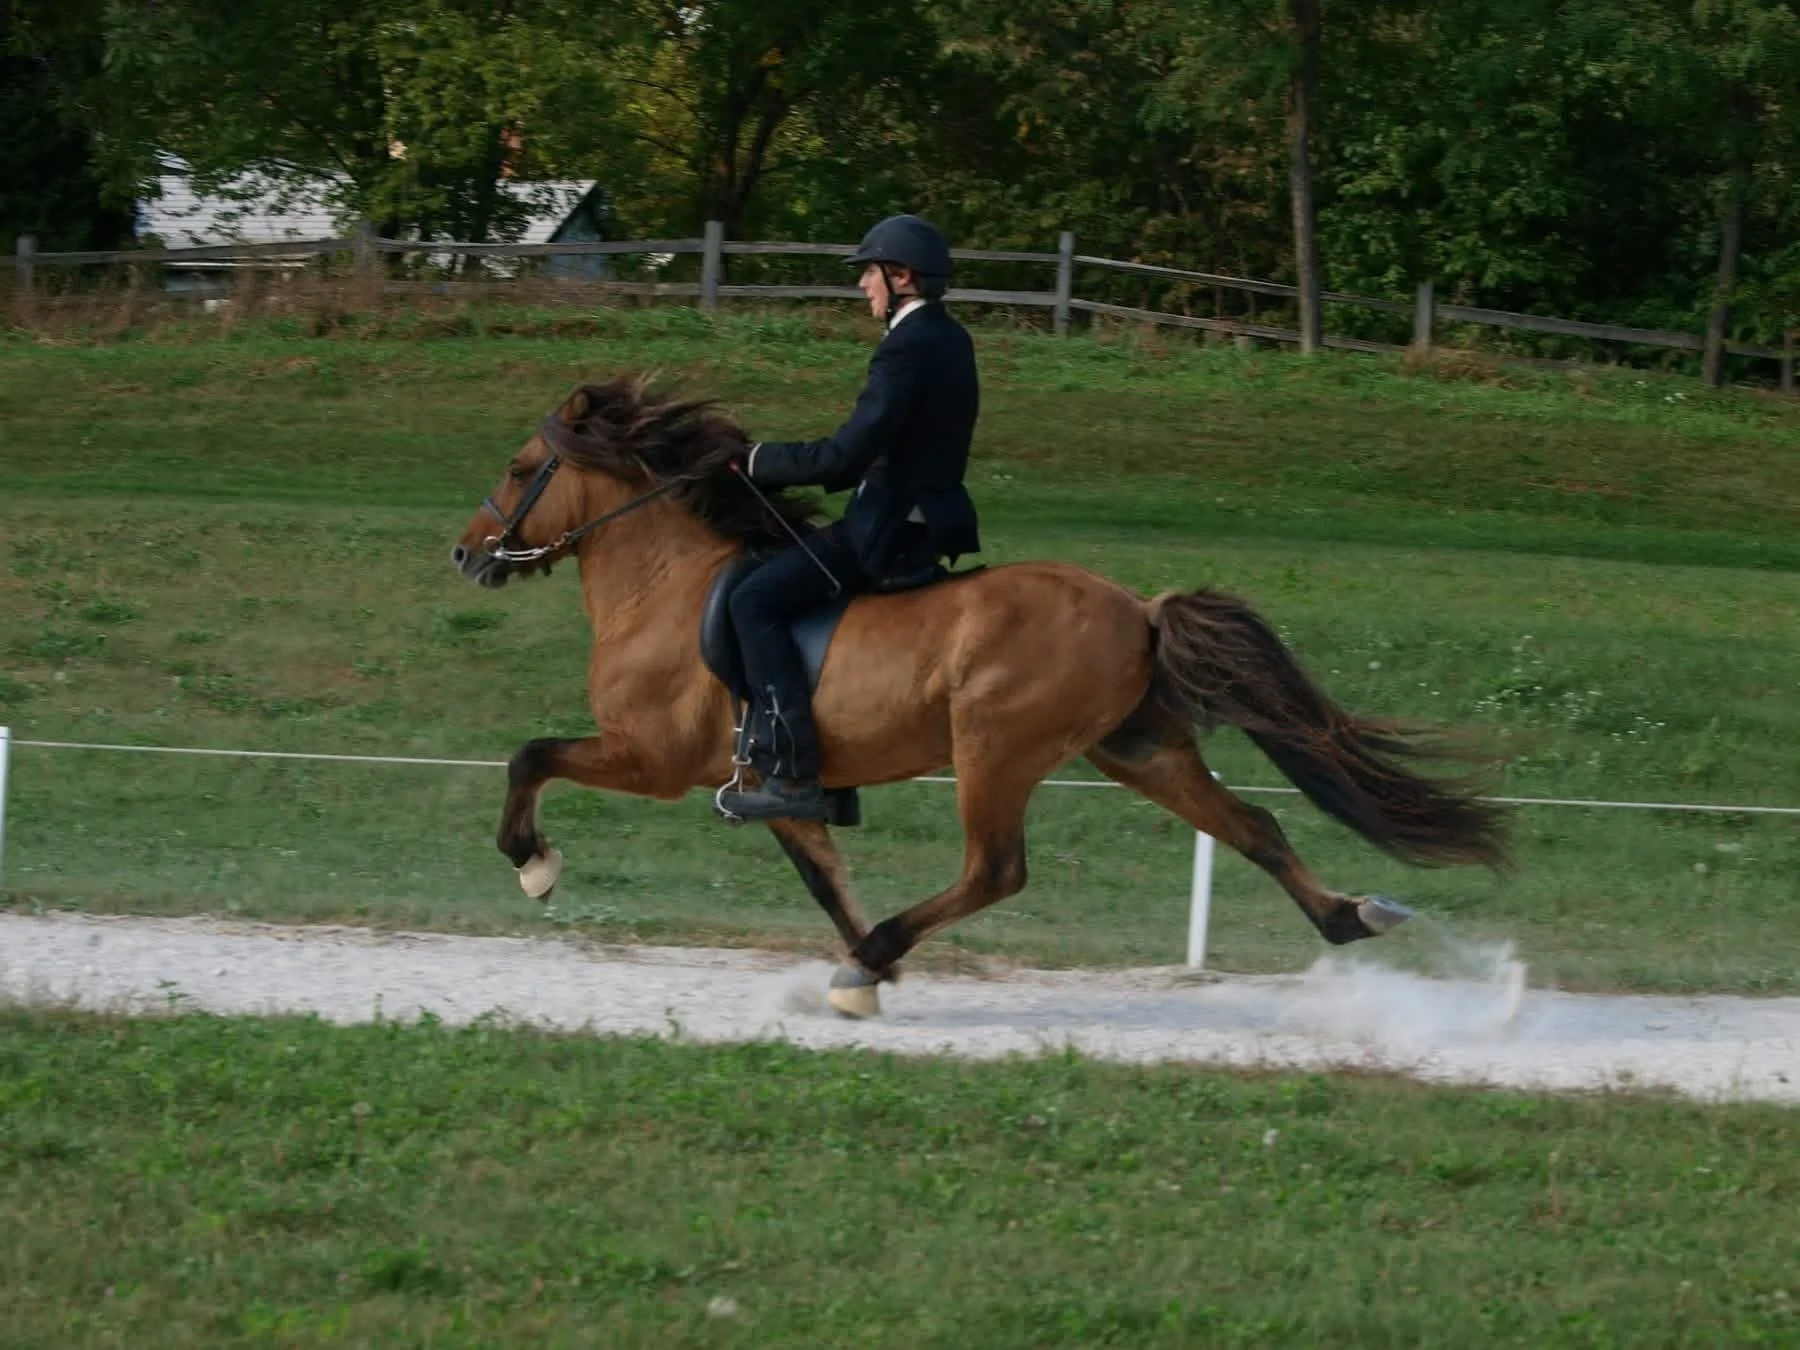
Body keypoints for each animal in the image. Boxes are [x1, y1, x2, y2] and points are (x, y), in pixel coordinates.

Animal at [450, 376, 1508, 1016]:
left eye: (517, 469)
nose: (464, 554)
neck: (665, 584)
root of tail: (1139, 607)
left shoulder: (651, 757)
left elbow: (529, 757)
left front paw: (533, 864)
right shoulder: (772, 785)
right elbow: (821, 875)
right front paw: (871, 974)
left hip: (993, 749)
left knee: (996, 869)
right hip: (1137, 749)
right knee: (1253, 826)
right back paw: (1351, 917)